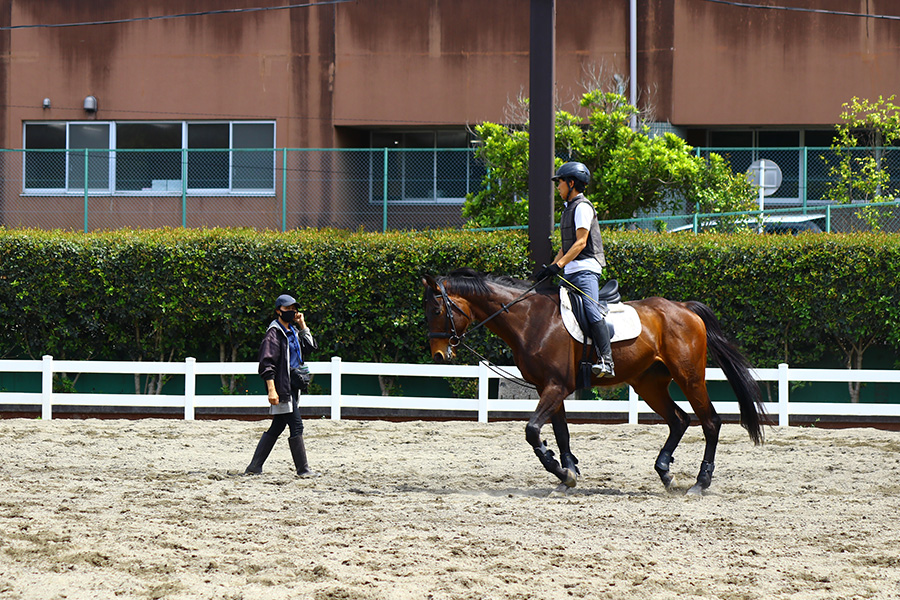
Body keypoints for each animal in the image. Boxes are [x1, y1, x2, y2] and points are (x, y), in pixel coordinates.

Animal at [424, 270, 768, 494]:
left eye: (438, 309)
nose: (439, 354)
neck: (530, 318)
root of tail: (684, 308)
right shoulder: (549, 387)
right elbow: (561, 433)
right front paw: (567, 474)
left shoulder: (556, 386)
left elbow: (532, 430)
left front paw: (559, 469)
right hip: (649, 384)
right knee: (679, 419)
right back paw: (665, 473)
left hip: (690, 377)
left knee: (710, 422)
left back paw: (700, 482)